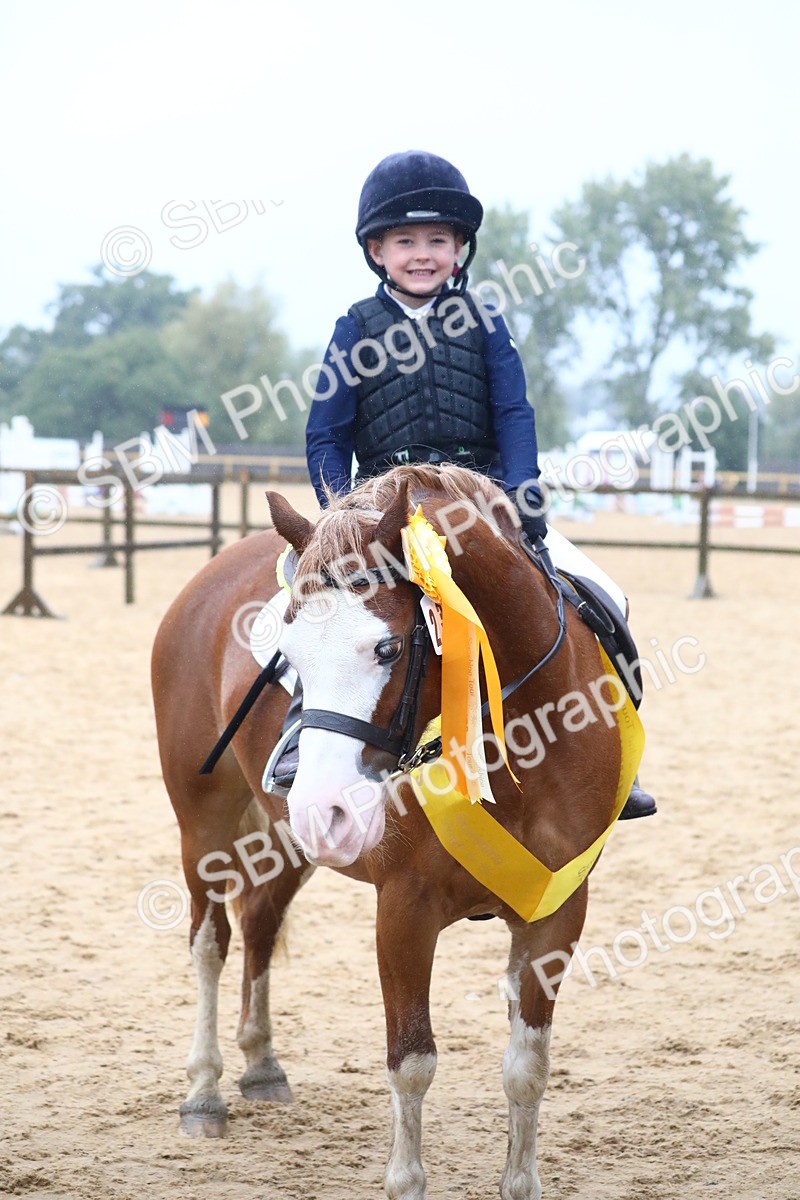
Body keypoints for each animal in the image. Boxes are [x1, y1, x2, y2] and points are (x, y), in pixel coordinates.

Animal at [151, 463, 635, 1200]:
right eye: (288, 652)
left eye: (388, 646)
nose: (323, 804)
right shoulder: (405, 909)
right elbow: (411, 1063)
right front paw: (406, 1179)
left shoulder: (557, 910)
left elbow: (527, 1066)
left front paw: (519, 1181)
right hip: (206, 822)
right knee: (211, 942)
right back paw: (203, 1093)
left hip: (289, 841)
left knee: (259, 923)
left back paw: (262, 1066)